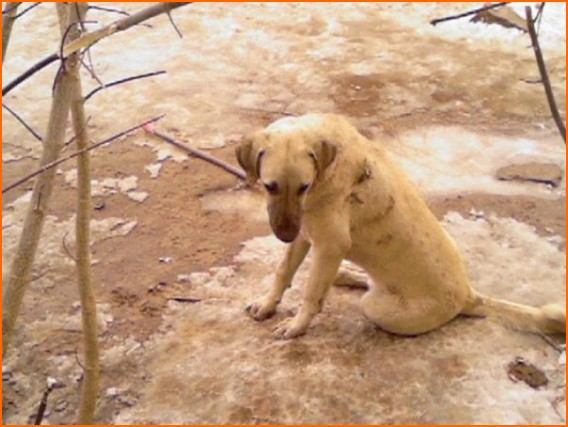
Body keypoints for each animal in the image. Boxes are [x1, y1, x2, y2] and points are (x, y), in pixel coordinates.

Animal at [235, 113, 564, 342]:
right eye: (270, 186)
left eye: (303, 187)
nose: (284, 235)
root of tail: (468, 294)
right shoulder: (305, 236)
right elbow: (282, 272)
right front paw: (268, 304)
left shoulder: (329, 245)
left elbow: (312, 294)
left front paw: (296, 326)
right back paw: (348, 274)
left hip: (374, 306)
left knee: (368, 293)